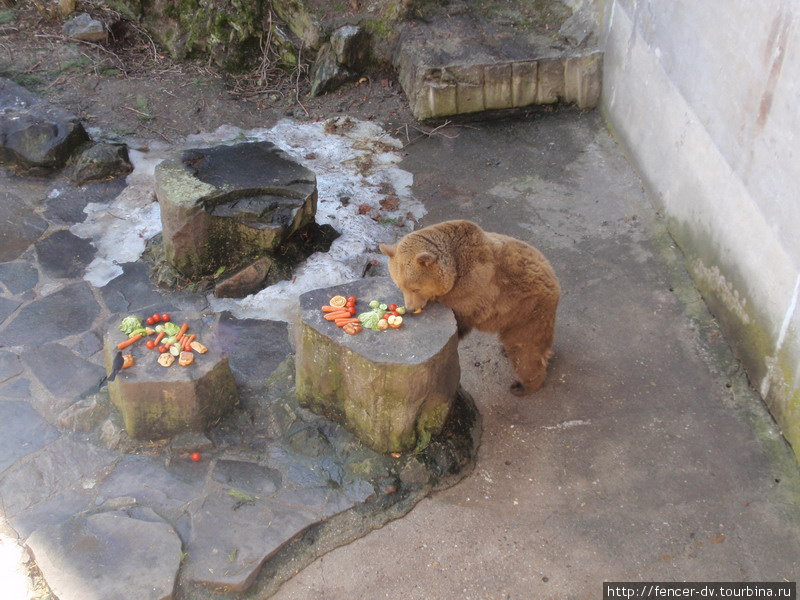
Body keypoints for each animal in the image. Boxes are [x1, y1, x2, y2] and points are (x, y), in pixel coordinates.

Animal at [380, 218, 556, 396]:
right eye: (400, 286)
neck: (454, 268)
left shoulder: (472, 292)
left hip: (526, 311)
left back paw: (522, 386)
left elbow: (461, 320)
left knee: (525, 350)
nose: (410, 308)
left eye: (415, 288)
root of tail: (553, 278)